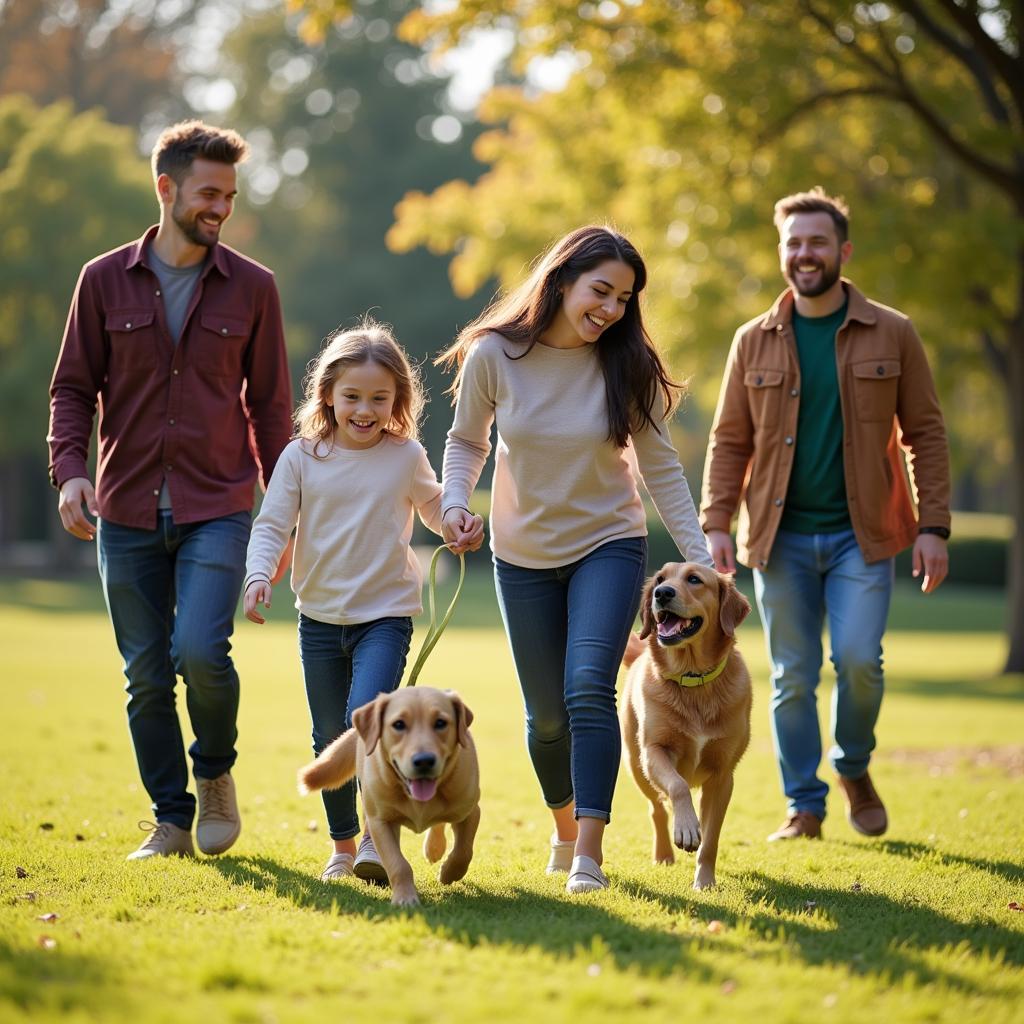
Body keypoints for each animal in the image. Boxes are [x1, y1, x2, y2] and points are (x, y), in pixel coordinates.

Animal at [296, 688, 479, 905]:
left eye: (441, 723)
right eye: (398, 724)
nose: (424, 761)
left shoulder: (471, 811)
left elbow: (463, 851)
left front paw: (448, 873)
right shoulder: (380, 822)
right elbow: (398, 864)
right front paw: (405, 897)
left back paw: (434, 848)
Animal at [614, 561, 753, 888]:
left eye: (694, 579)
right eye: (660, 580)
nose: (662, 593)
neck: (693, 679)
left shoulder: (722, 776)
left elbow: (711, 839)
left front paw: (704, 882)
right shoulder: (655, 751)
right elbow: (677, 786)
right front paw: (686, 828)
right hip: (636, 766)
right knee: (657, 808)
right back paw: (664, 853)